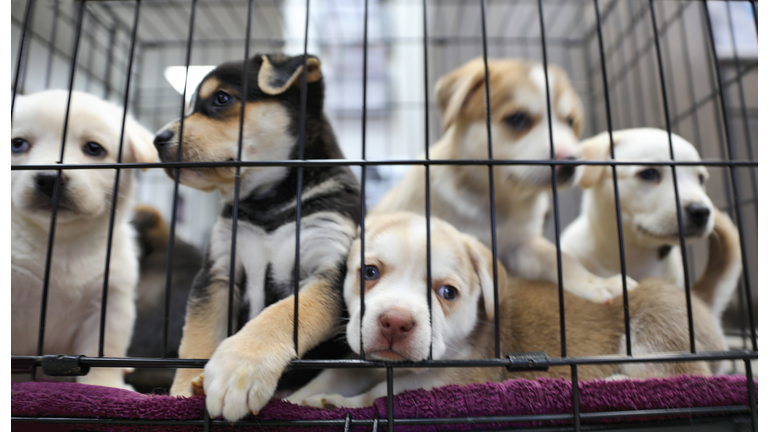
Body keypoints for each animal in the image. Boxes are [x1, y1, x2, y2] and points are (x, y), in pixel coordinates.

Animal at [11, 89, 158, 390]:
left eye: (93, 148)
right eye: (17, 144)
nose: (50, 179)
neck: (62, 242)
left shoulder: (110, 305)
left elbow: (105, 352)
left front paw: (107, 385)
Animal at [156, 52, 364, 420]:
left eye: (221, 99)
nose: (158, 139)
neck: (269, 203)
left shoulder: (329, 267)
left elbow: (283, 312)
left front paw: (239, 368)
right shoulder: (217, 272)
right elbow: (196, 337)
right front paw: (180, 393)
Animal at [286, 213, 732, 408]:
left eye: (447, 292)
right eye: (369, 272)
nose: (395, 322)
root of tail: (696, 298)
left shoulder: (451, 378)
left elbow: (383, 395)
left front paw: (339, 404)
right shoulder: (360, 359)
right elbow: (331, 375)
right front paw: (296, 398)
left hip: (655, 326)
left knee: (682, 373)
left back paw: (613, 381)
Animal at [374, 57, 636, 304]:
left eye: (570, 121)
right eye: (517, 119)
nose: (571, 162)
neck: (495, 201)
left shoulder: (523, 245)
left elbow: (559, 259)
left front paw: (595, 282)